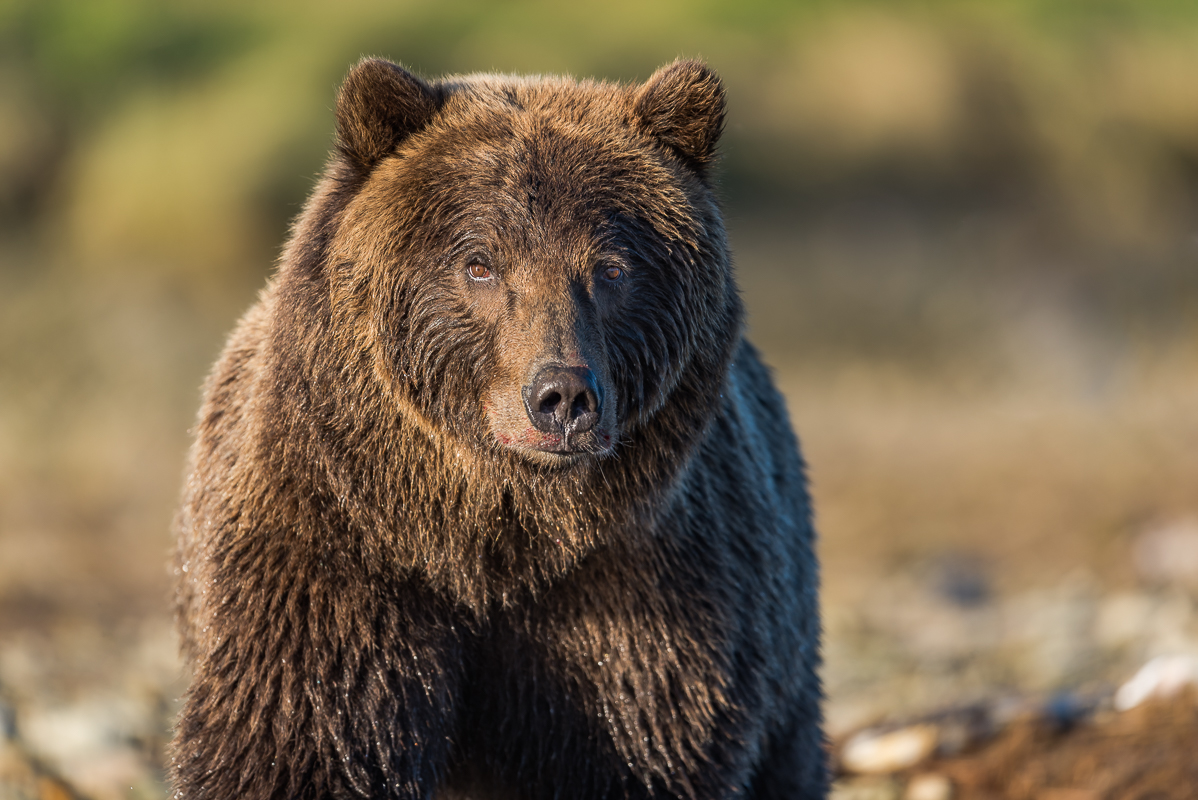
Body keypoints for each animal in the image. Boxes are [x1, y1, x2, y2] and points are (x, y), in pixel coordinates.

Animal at [171, 59, 824, 795]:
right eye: (479, 263)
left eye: (611, 268)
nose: (562, 396)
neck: (485, 541)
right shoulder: (333, 556)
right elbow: (299, 744)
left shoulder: (636, 600)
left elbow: (640, 743)